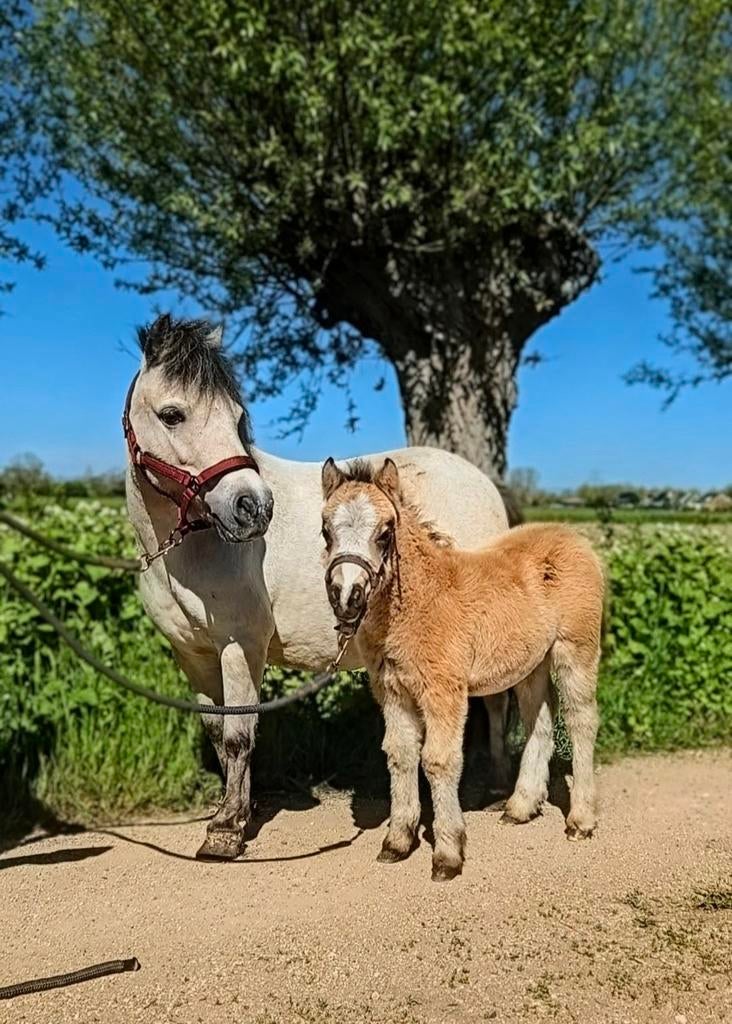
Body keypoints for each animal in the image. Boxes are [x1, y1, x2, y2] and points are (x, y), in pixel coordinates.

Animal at [124, 314, 511, 859]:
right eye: (173, 414)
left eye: (236, 417)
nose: (253, 507)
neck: (194, 545)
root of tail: (483, 485)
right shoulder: (192, 654)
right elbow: (218, 732)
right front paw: (236, 811)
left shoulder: (240, 645)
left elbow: (240, 733)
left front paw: (226, 831)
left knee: (499, 700)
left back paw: (500, 790)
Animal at [320, 457, 605, 881]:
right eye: (325, 530)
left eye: (385, 533)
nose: (347, 596)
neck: (417, 601)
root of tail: (573, 537)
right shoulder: (392, 690)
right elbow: (400, 753)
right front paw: (397, 841)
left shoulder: (443, 689)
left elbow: (439, 760)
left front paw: (448, 853)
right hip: (530, 663)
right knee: (540, 723)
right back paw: (521, 807)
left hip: (576, 649)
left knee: (581, 719)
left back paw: (581, 820)